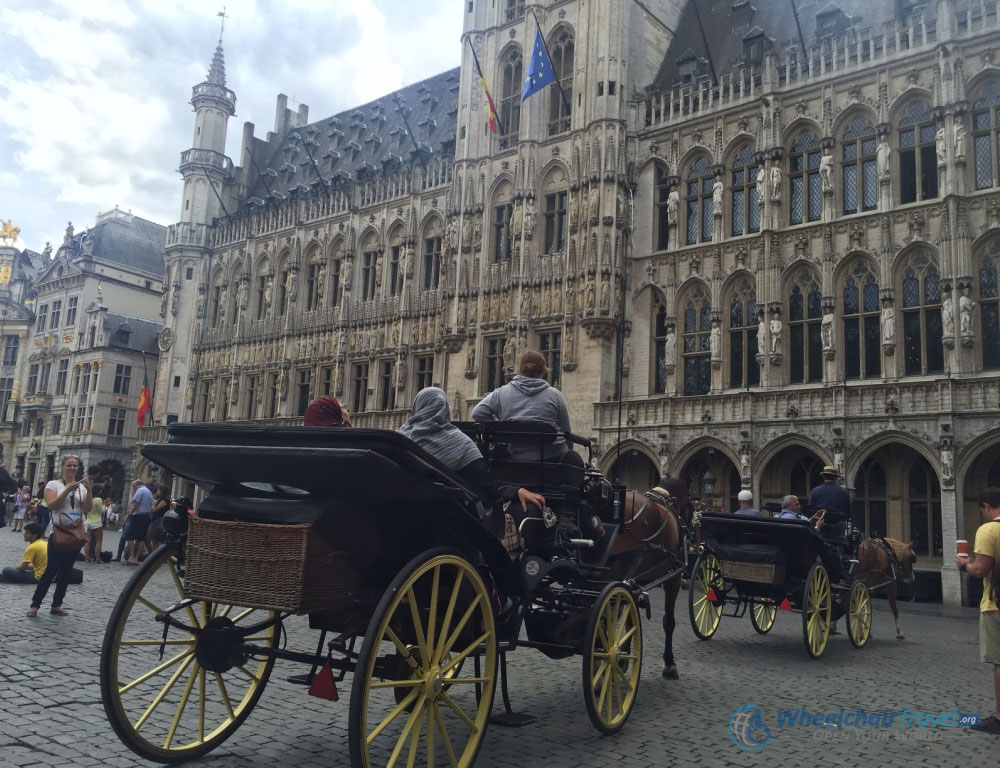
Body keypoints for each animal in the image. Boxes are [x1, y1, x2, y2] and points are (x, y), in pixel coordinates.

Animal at [608, 476, 688, 680]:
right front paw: (669, 663)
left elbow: (629, 620)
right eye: (691, 505)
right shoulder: (673, 578)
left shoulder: (634, 582)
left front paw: (624, 655)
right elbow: (669, 621)